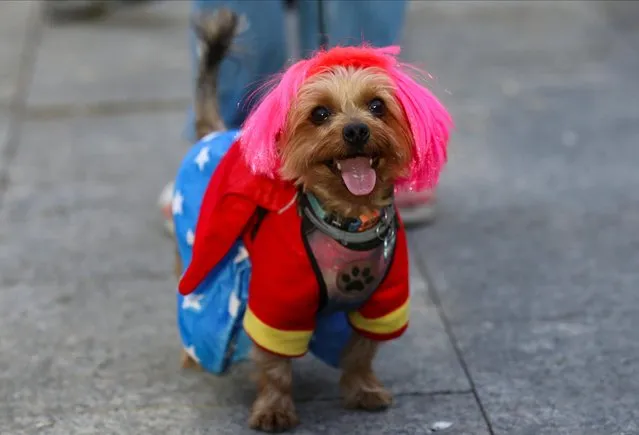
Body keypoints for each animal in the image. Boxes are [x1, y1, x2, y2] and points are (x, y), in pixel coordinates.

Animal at [172, 9, 452, 432]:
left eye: (376, 106)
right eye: (320, 113)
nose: (356, 130)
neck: (349, 220)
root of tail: (213, 133)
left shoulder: (383, 302)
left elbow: (361, 350)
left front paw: (363, 389)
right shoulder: (277, 302)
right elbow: (275, 367)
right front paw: (274, 408)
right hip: (192, 250)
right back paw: (192, 353)